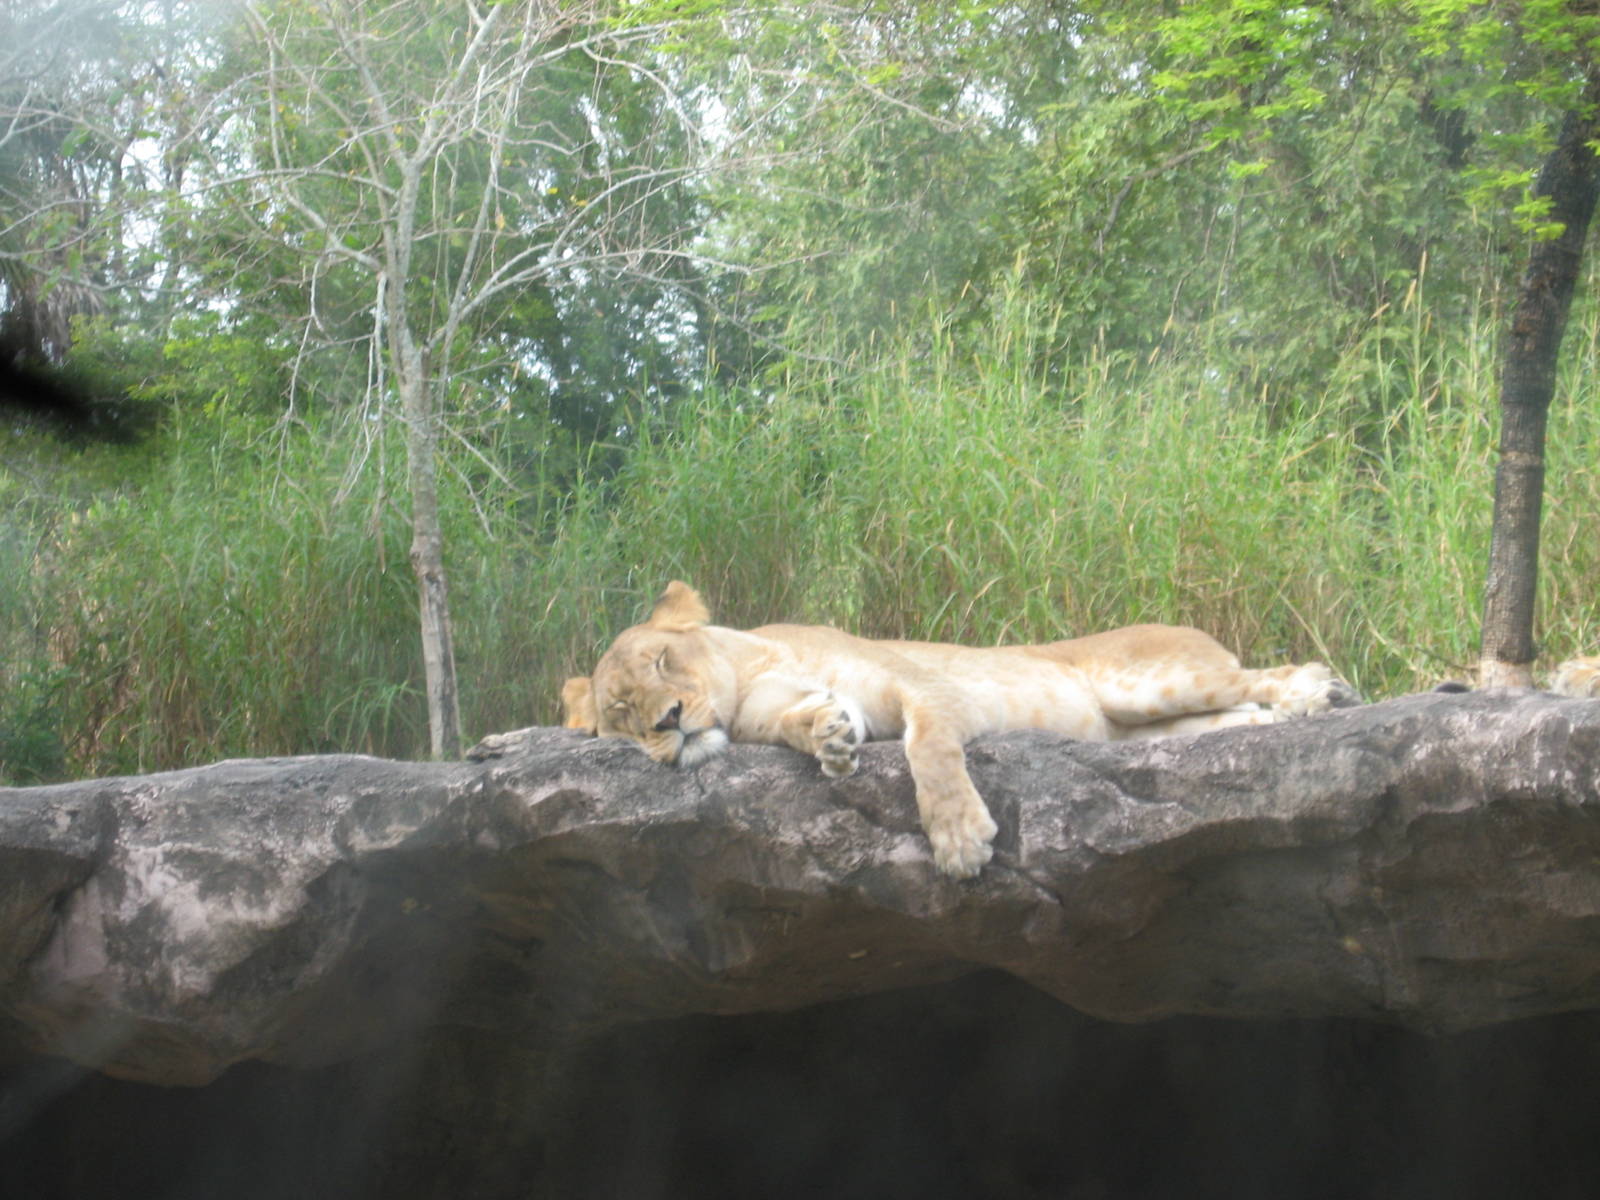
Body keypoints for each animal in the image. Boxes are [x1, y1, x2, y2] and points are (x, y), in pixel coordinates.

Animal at [563, 581, 1358, 878]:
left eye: (664, 661)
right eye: (622, 716)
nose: (669, 722)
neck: (746, 668)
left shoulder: (922, 686)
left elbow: (928, 749)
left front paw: (959, 841)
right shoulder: (797, 704)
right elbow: (807, 719)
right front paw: (830, 738)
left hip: (1147, 681)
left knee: (1269, 673)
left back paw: (1322, 694)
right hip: (1146, 729)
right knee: (1232, 718)